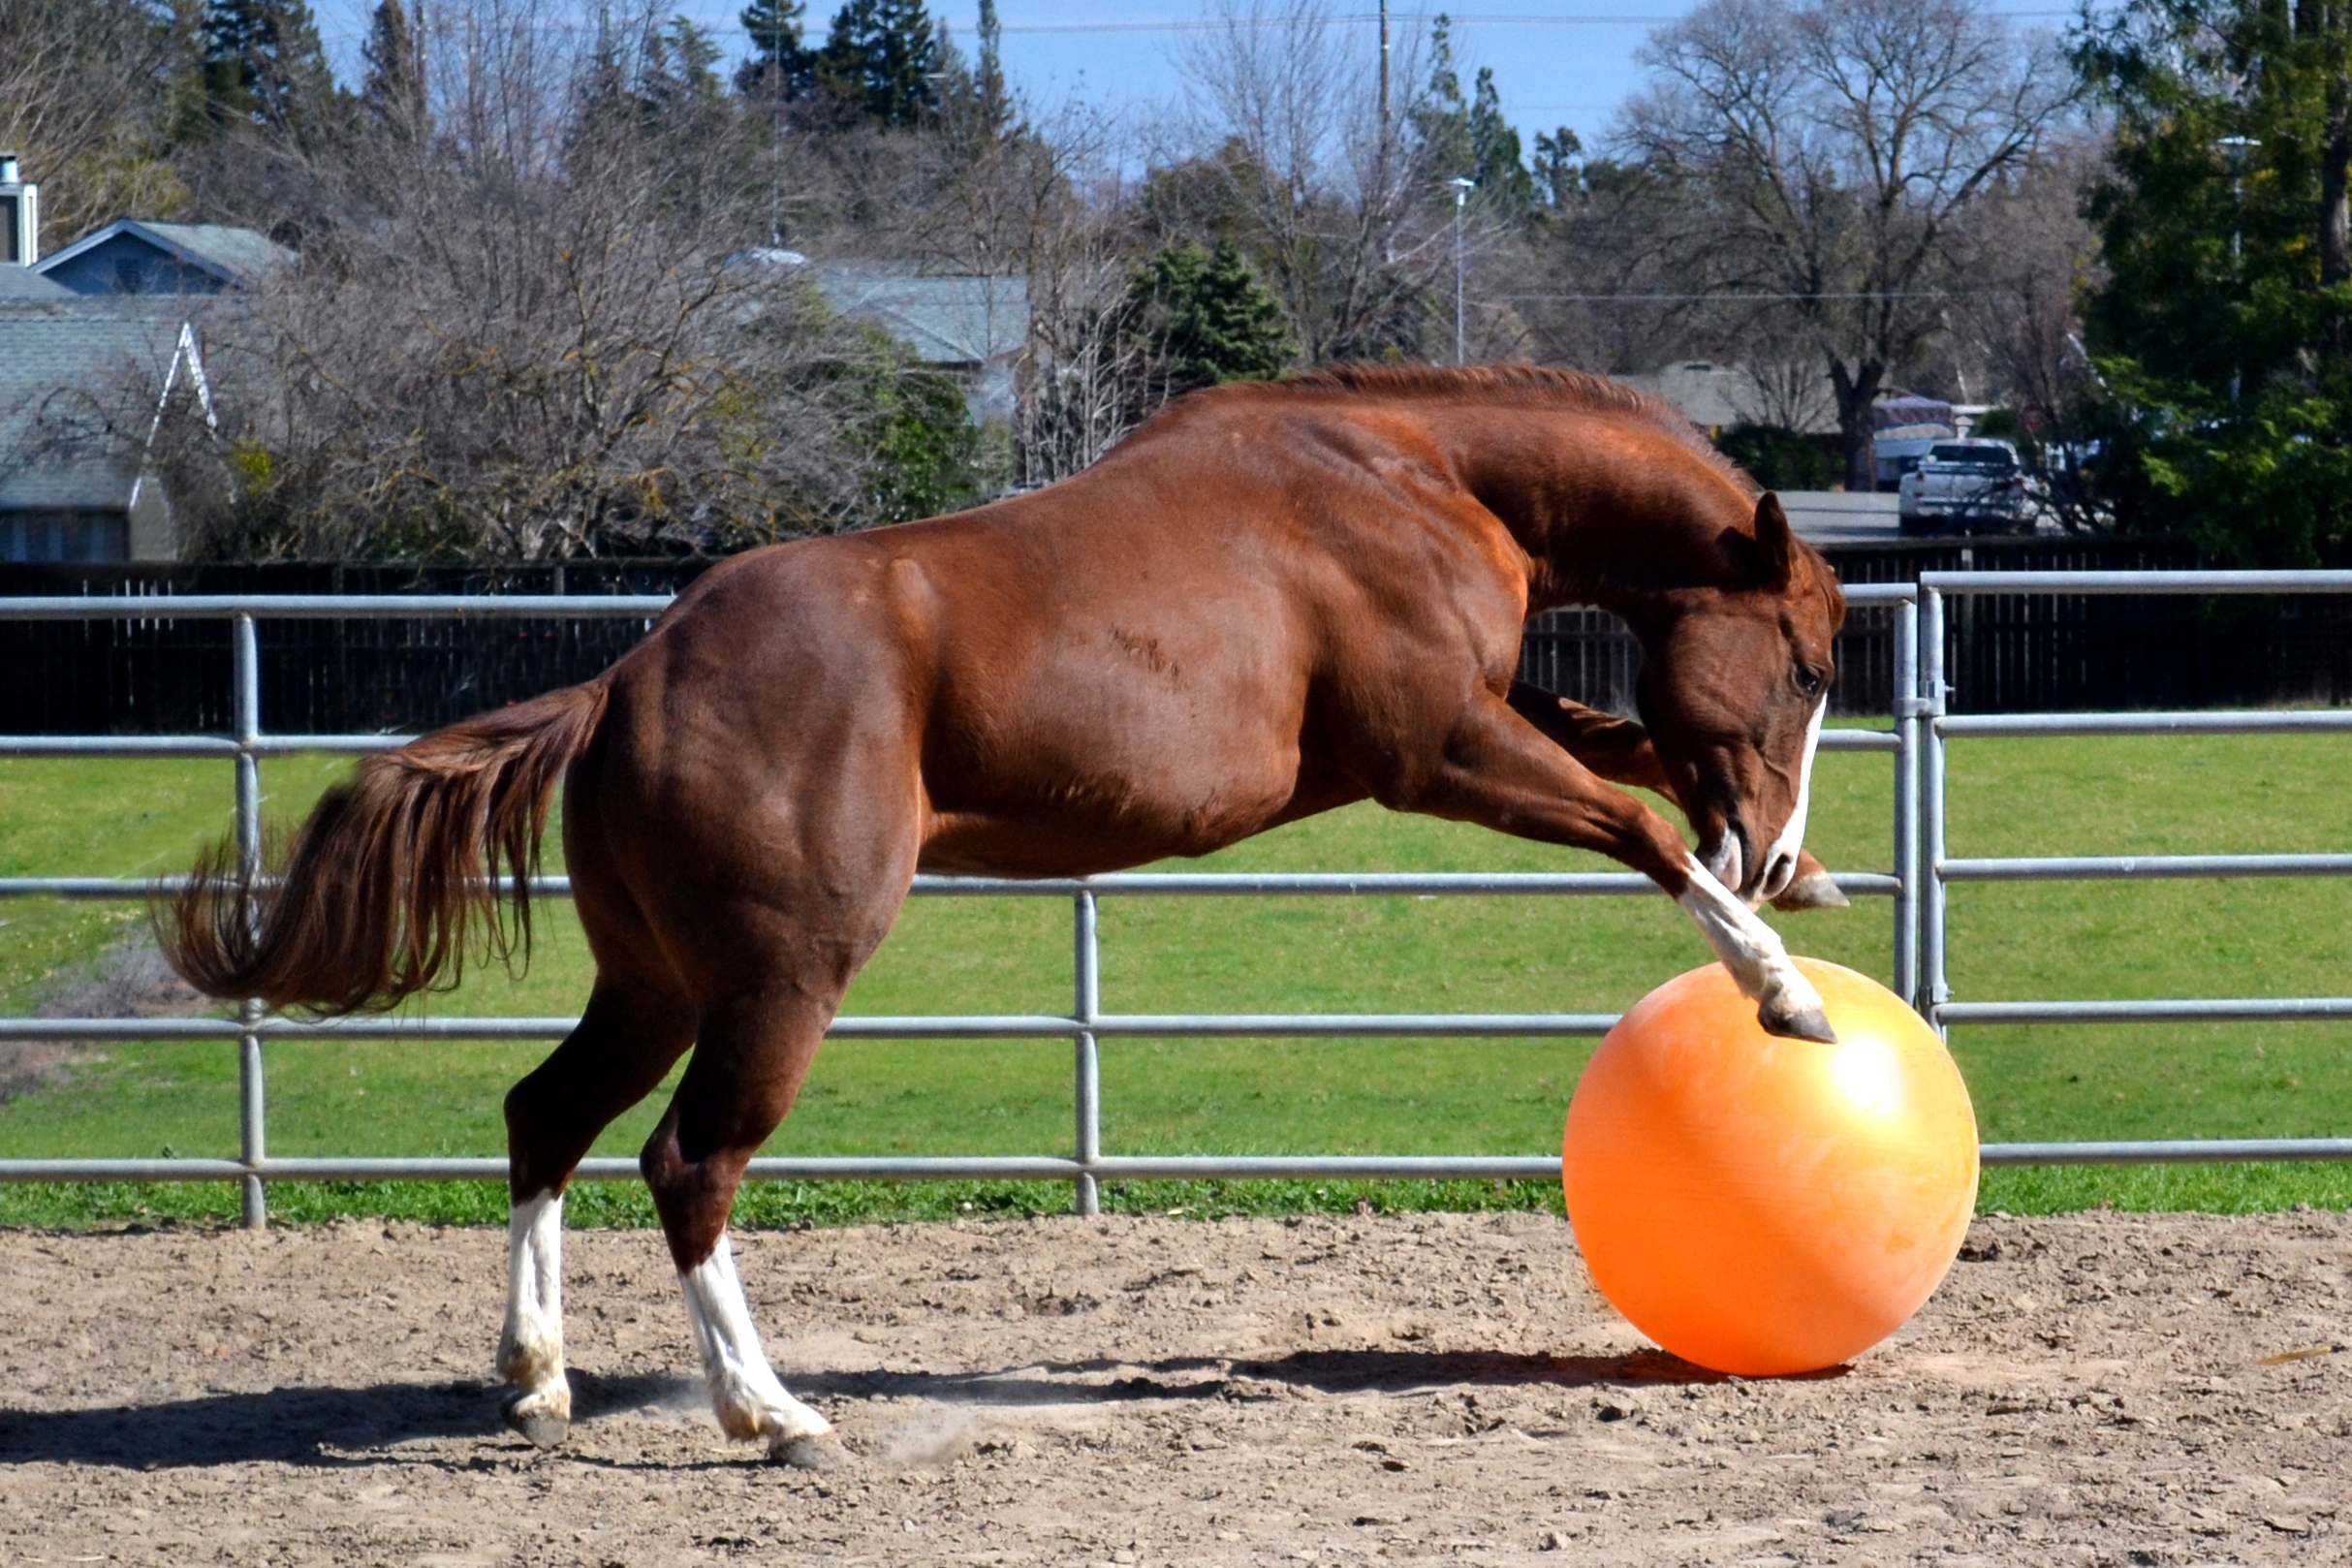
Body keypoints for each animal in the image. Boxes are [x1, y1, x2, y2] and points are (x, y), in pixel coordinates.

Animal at [158, 365, 1847, 1468]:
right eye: (1811, 664)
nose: (1770, 843)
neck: (1402, 470)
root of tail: (629, 677)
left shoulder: (1480, 722)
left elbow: (1622, 756)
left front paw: (1800, 892)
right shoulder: (1434, 749)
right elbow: (1637, 824)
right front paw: (1784, 988)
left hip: (652, 983)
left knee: (544, 1117)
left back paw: (536, 1379)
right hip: (778, 982)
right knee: (686, 1158)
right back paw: (770, 1413)